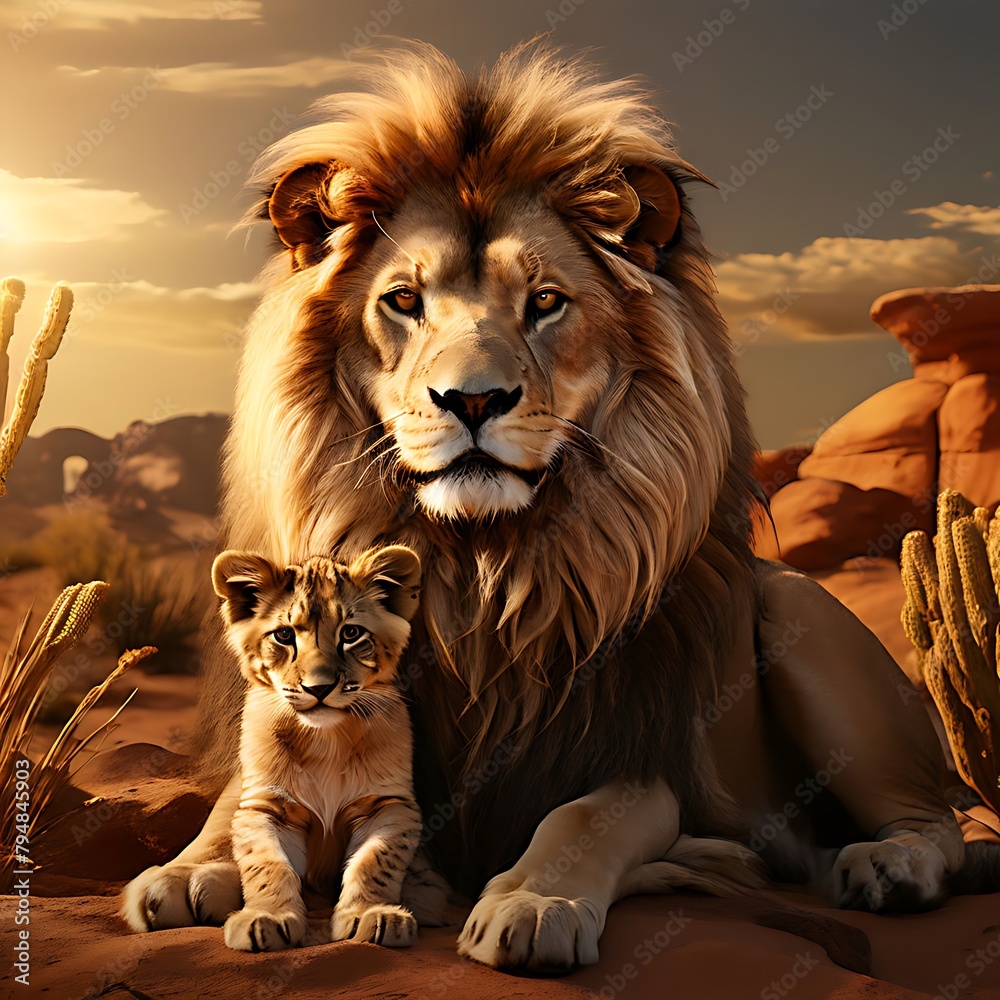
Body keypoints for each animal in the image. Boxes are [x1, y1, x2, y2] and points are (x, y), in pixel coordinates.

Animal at [122, 41, 972, 971]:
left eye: (546, 301)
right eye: (403, 301)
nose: (473, 399)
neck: (482, 570)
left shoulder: (636, 753)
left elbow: (579, 819)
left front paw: (531, 904)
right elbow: (240, 792)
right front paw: (186, 870)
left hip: (798, 611)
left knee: (938, 822)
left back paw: (889, 866)